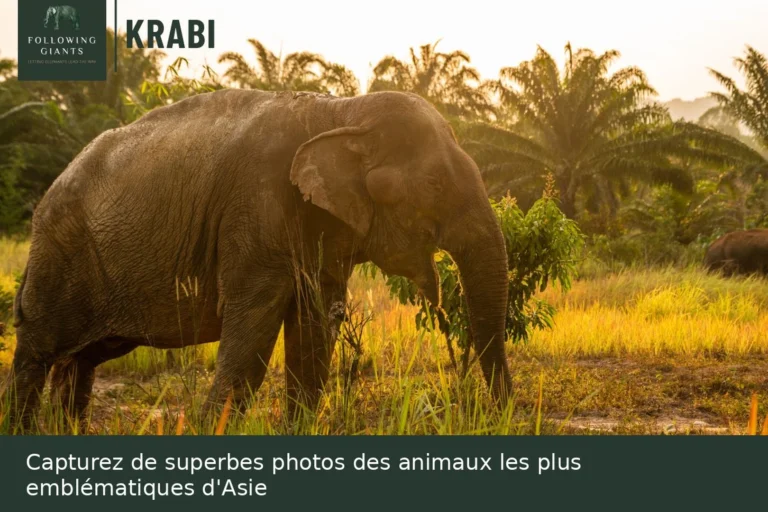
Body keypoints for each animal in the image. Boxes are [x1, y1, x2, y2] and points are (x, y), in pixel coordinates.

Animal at [3, 89, 511, 429]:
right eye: (434, 185)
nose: (500, 413)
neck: (343, 111)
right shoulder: (256, 211)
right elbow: (252, 332)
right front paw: (207, 430)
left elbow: (313, 331)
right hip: (58, 254)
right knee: (38, 350)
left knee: (82, 359)